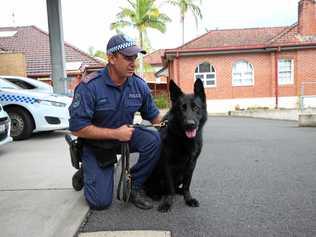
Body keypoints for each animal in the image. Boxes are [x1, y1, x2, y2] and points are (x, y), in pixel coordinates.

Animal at [143, 78, 207, 212]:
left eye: (196, 108)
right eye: (181, 108)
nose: (190, 125)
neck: (183, 139)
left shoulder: (191, 165)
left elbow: (187, 185)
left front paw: (188, 199)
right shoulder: (167, 165)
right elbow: (169, 188)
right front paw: (167, 202)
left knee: (179, 187)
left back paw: (179, 191)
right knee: (150, 187)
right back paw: (155, 194)